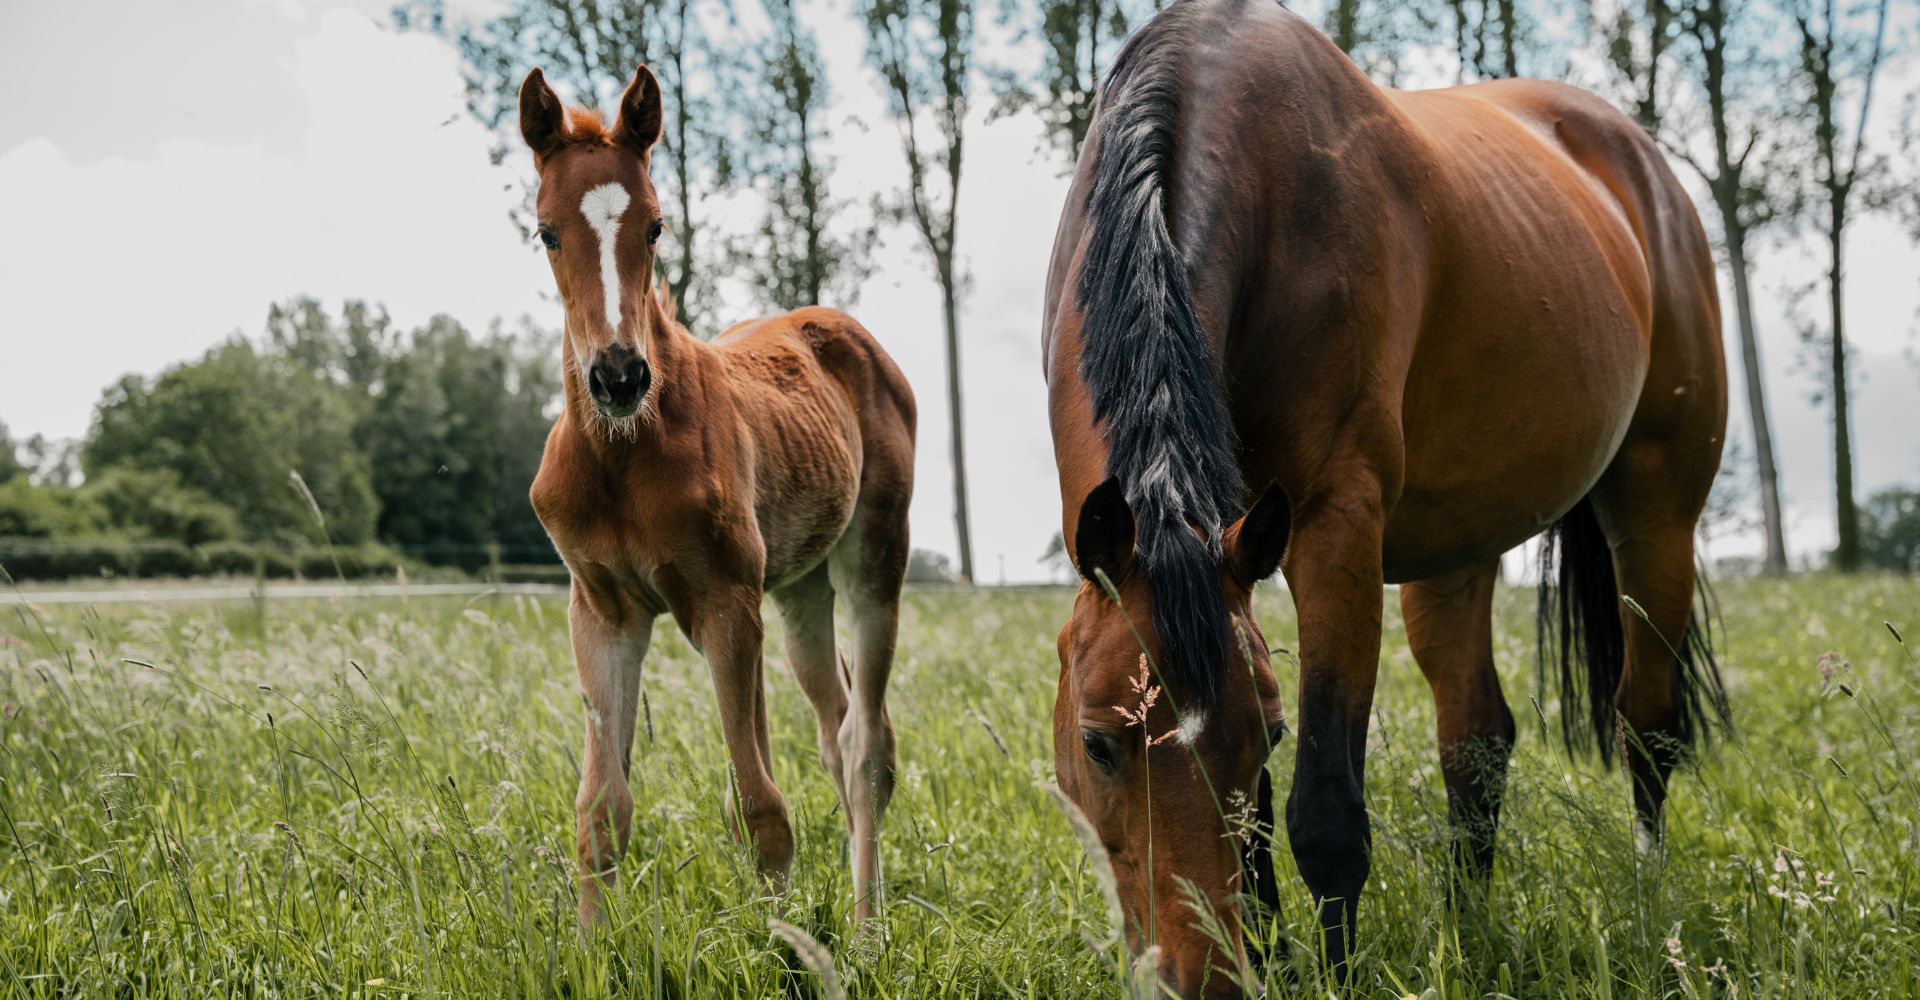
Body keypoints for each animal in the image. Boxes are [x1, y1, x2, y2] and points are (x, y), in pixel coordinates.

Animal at [516, 64, 917, 926]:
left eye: (656, 227)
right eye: (547, 232)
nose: (618, 376)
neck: (623, 458)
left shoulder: (727, 602)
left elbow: (761, 806)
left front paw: (782, 940)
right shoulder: (605, 614)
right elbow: (602, 810)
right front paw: (593, 948)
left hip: (872, 560)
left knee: (867, 746)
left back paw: (868, 929)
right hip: (797, 594)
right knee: (835, 728)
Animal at [1041, 0, 1729, 993]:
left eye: (1270, 735)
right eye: (1097, 742)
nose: (1203, 976)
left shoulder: (1334, 528)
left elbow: (1323, 810)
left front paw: (1326, 971)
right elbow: (1261, 825)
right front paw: (1274, 954)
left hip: (1657, 515)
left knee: (1647, 727)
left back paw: (1647, 905)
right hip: (1459, 549)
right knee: (1477, 742)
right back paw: (1466, 928)